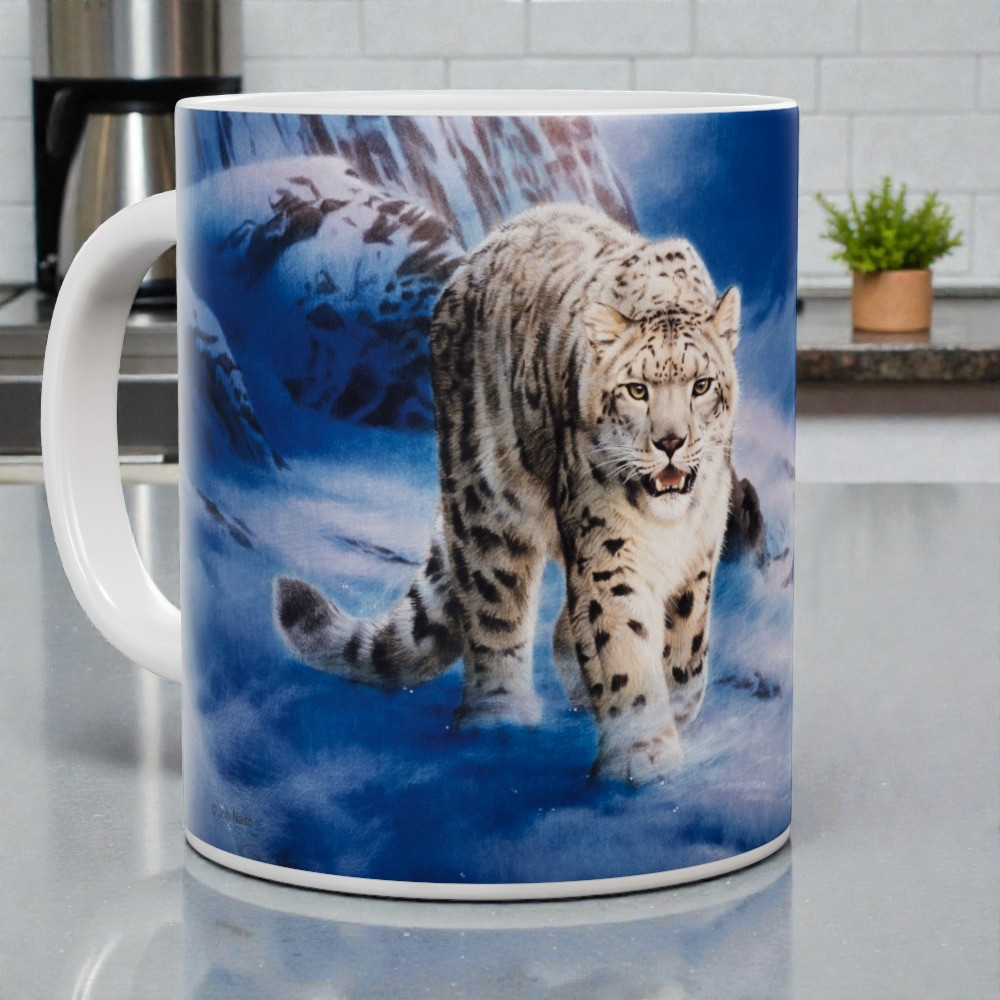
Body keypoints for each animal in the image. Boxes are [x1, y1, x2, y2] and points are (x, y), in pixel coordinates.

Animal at [274, 203, 741, 784]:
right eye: (637, 389)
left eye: (702, 386)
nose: (672, 442)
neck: (666, 525)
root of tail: (473, 260)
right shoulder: (608, 553)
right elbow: (622, 644)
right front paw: (641, 754)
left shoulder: (696, 555)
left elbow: (686, 643)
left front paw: (674, 711)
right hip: (487, 504)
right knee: (494, 609)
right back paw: (499, 719)